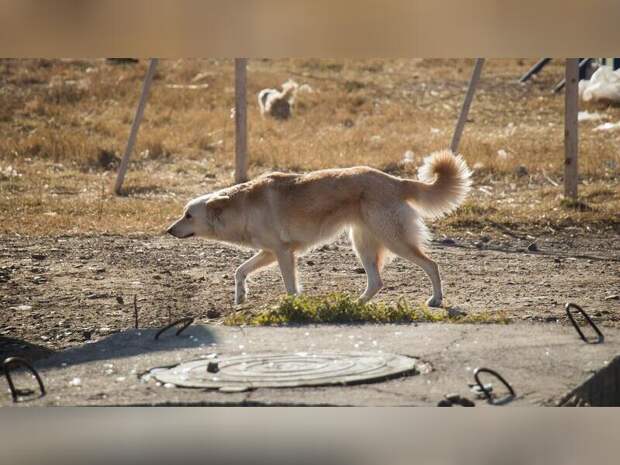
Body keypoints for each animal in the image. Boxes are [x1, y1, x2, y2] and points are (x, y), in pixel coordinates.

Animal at [167, 150, 472, 306]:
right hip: (363, 245)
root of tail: (395, 181)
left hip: (394, 240)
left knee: (431, 265)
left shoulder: (283, 254)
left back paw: (436, 299)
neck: (241, 206)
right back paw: (355, 304)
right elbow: (240, 271)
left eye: (188, 215)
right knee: (376, 282)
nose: (169, 230)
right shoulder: (269, 252)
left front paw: (292, 306)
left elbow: (290, 285)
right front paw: (240, 296)